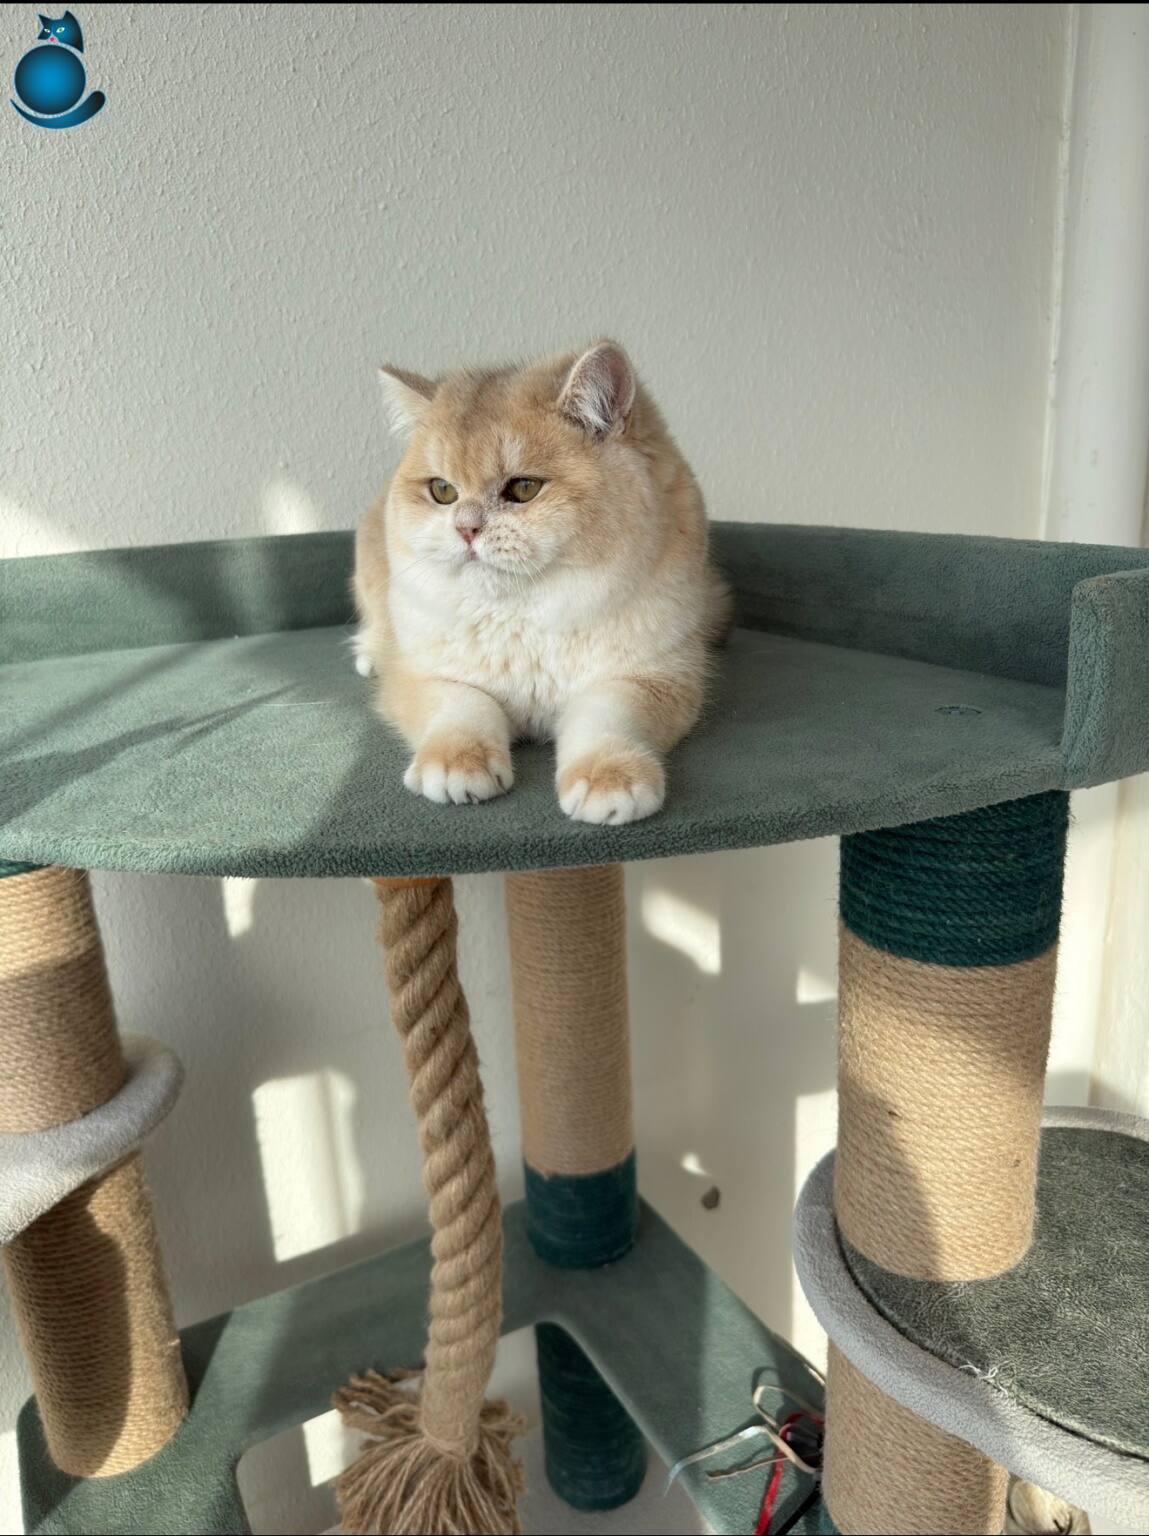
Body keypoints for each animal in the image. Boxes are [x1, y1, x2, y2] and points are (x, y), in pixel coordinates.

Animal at [352, 341, 731, 825]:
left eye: (524, 488)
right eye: (443, 491)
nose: (465, 529)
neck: (524, 615)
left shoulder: (646, 680)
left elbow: (605, 720)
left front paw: (609, 779)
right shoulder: (428, 677)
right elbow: (464, 708)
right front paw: (458, 765)